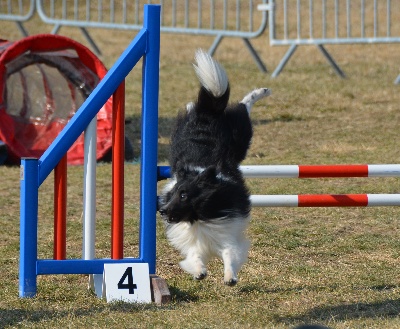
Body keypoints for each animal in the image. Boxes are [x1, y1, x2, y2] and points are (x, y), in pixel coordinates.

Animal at [159, 48, 268, 284]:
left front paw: (230, 276)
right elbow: (195, 255)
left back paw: (261, 92)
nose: (162, 210)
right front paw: (199, 271)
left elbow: (229, 252)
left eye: (184, 195)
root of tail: (209, 112)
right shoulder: (195, 239)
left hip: (242, 135)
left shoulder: (227, 231)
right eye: (173, 194)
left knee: (243, 106)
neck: (200, 216)